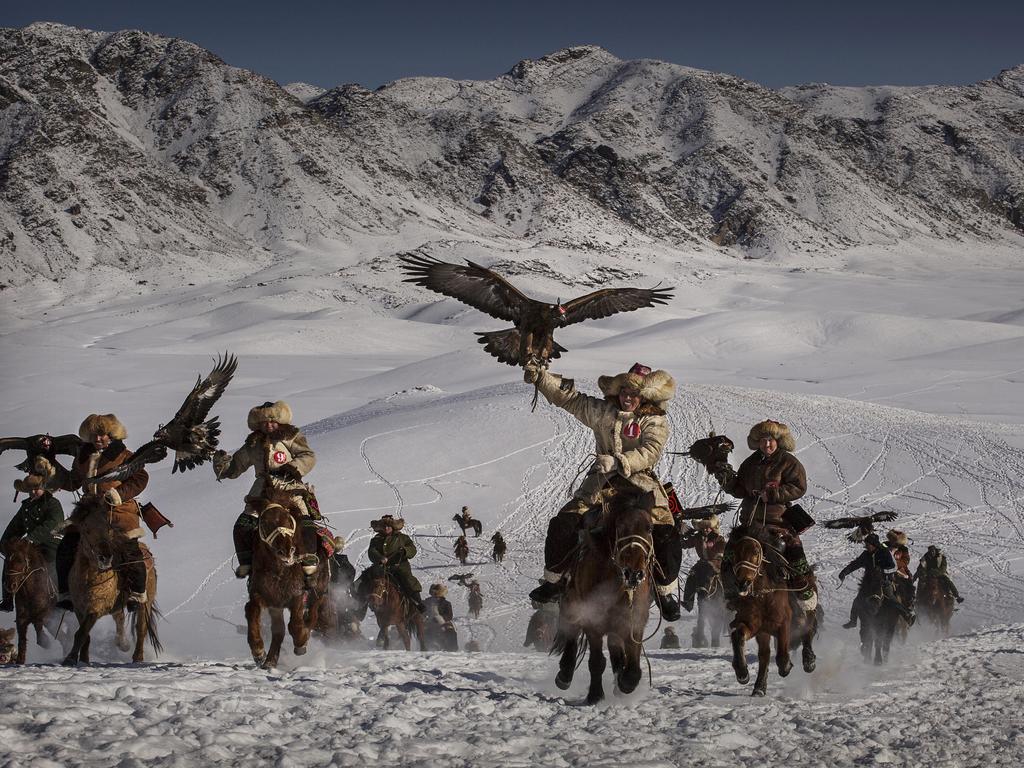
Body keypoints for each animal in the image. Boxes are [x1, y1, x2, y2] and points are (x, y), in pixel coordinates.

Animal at [62, 499, 159, 667]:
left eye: (108, 528)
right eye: (86, 530)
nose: (105, 557)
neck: (88, 579)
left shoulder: (96, 608)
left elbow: (81, 633)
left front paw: (70, 659)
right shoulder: (79, 609)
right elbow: (85, 635)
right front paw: (84, 660)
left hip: (145, 603)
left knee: (140, 629)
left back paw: (137, 658)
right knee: (119, 618)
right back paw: (122, 643)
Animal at [244, 493, 327, 667]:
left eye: (289, 521)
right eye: (265, 523)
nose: (287, 551)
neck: (279, 572)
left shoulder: (297, 595)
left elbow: (295, 625)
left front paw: (301, 642)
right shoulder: (262, 595)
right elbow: (251, 610)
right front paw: (258, 651)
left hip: (319, 591)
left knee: (313, 614)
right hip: (276, 607)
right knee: (279, 630)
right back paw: (269, 661)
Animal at [552, 493, 655, 704]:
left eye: (649, 528)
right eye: (620, 526)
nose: (634, 573)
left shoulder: (634, 620)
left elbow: (633, 665)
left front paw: (625, 683)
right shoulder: (593, 621)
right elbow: (597, 662)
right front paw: (595, 696)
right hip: (572, 605)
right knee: (571, 634)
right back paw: (564, 675)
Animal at [729, 528, 815, 696]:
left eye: (756, 552)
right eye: (735, 553)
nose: (743, 583)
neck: (764, 596)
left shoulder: (783, 623)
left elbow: (782, 654)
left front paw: (786, 666)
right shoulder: (754, 625)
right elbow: (738, 635)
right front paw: (742, 673)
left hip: (805, 611)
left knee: (807, 631)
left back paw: (809, 661)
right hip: (764, 633)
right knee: (764, 655)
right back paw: (759, 687)